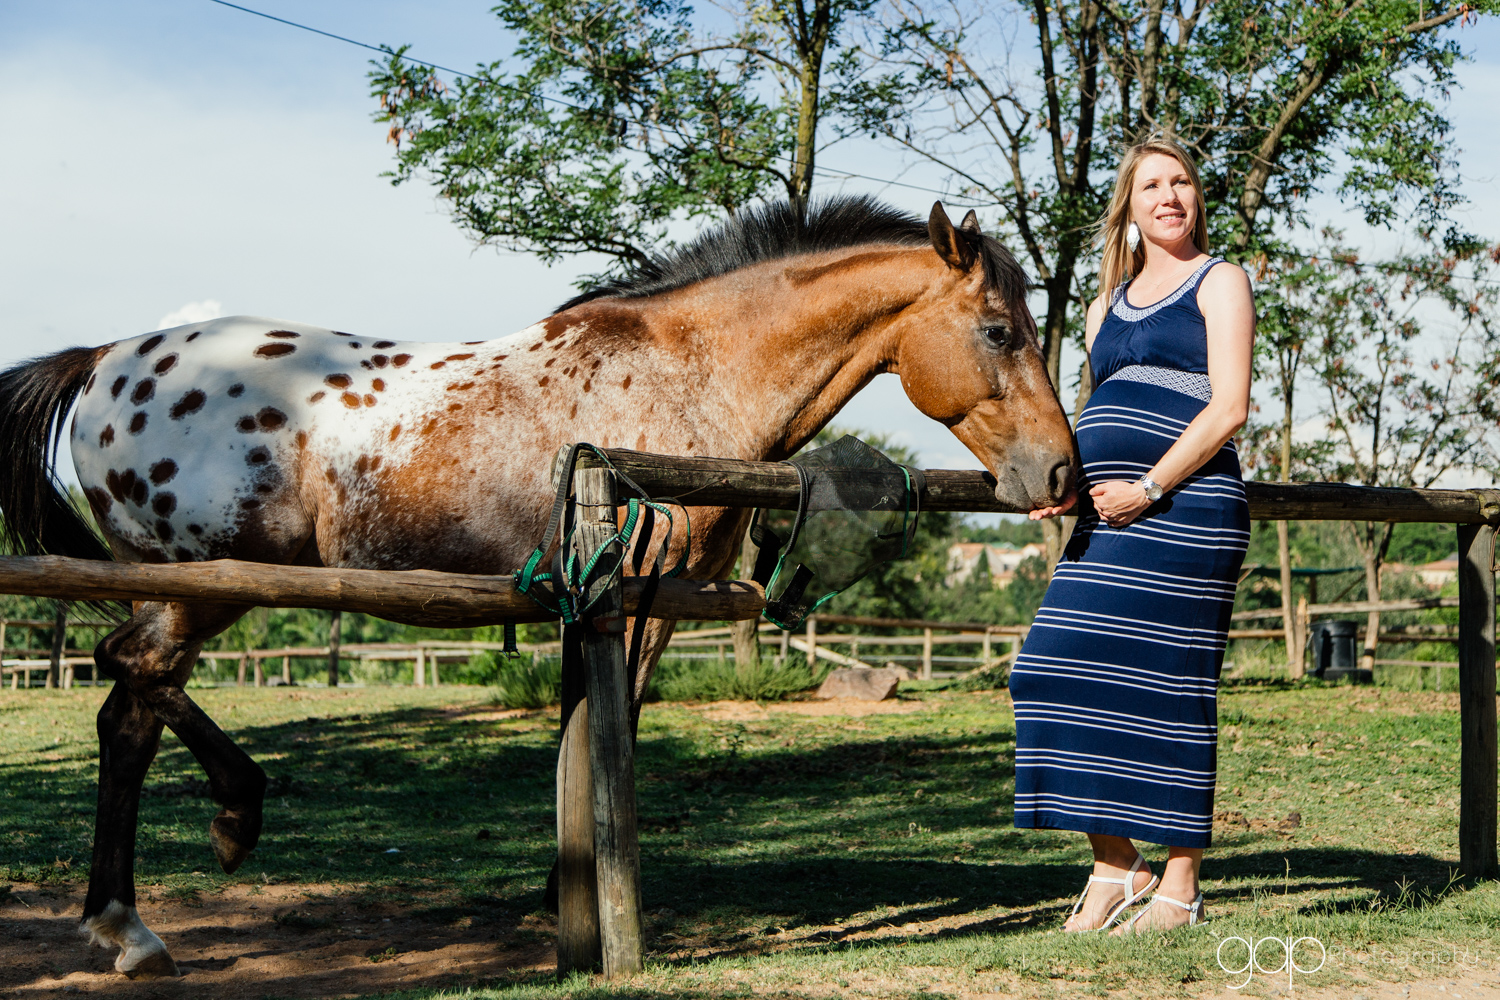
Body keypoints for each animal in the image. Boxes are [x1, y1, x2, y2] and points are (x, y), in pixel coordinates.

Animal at [0, 194, 1080, 977]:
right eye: (998, 330)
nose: (1061, 474)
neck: (691, 373)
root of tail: (104, 363)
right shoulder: (634, 603)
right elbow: (616, 733)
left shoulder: (601, 603)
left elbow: (581, 737)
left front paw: (560, 897)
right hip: (204, 583)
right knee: (132, 678)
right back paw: (200, 853)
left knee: (125, 703)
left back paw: (140, 907)